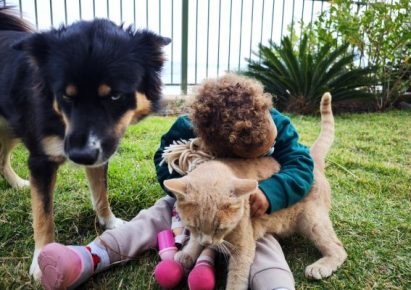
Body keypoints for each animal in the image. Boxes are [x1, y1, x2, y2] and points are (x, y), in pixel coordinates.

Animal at [0, 5, 171, 278]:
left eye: (115, 96)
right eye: (66, 96)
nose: (80, 156)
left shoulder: (99, 152)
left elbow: (100, 192)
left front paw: (109, 222)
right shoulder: (40, 160)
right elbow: (43, 214)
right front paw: (42, 258)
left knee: (2, 158)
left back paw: (16, 183)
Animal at [164, 93, 348, 290]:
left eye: (219, 228)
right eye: (195, 226)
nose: (207, 243)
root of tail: (313, 159)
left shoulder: (243, 249)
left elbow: (236, 281)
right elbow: (193, 240)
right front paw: (188, 253)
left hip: (312, 221)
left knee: (338, 248)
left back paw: (320, 267)